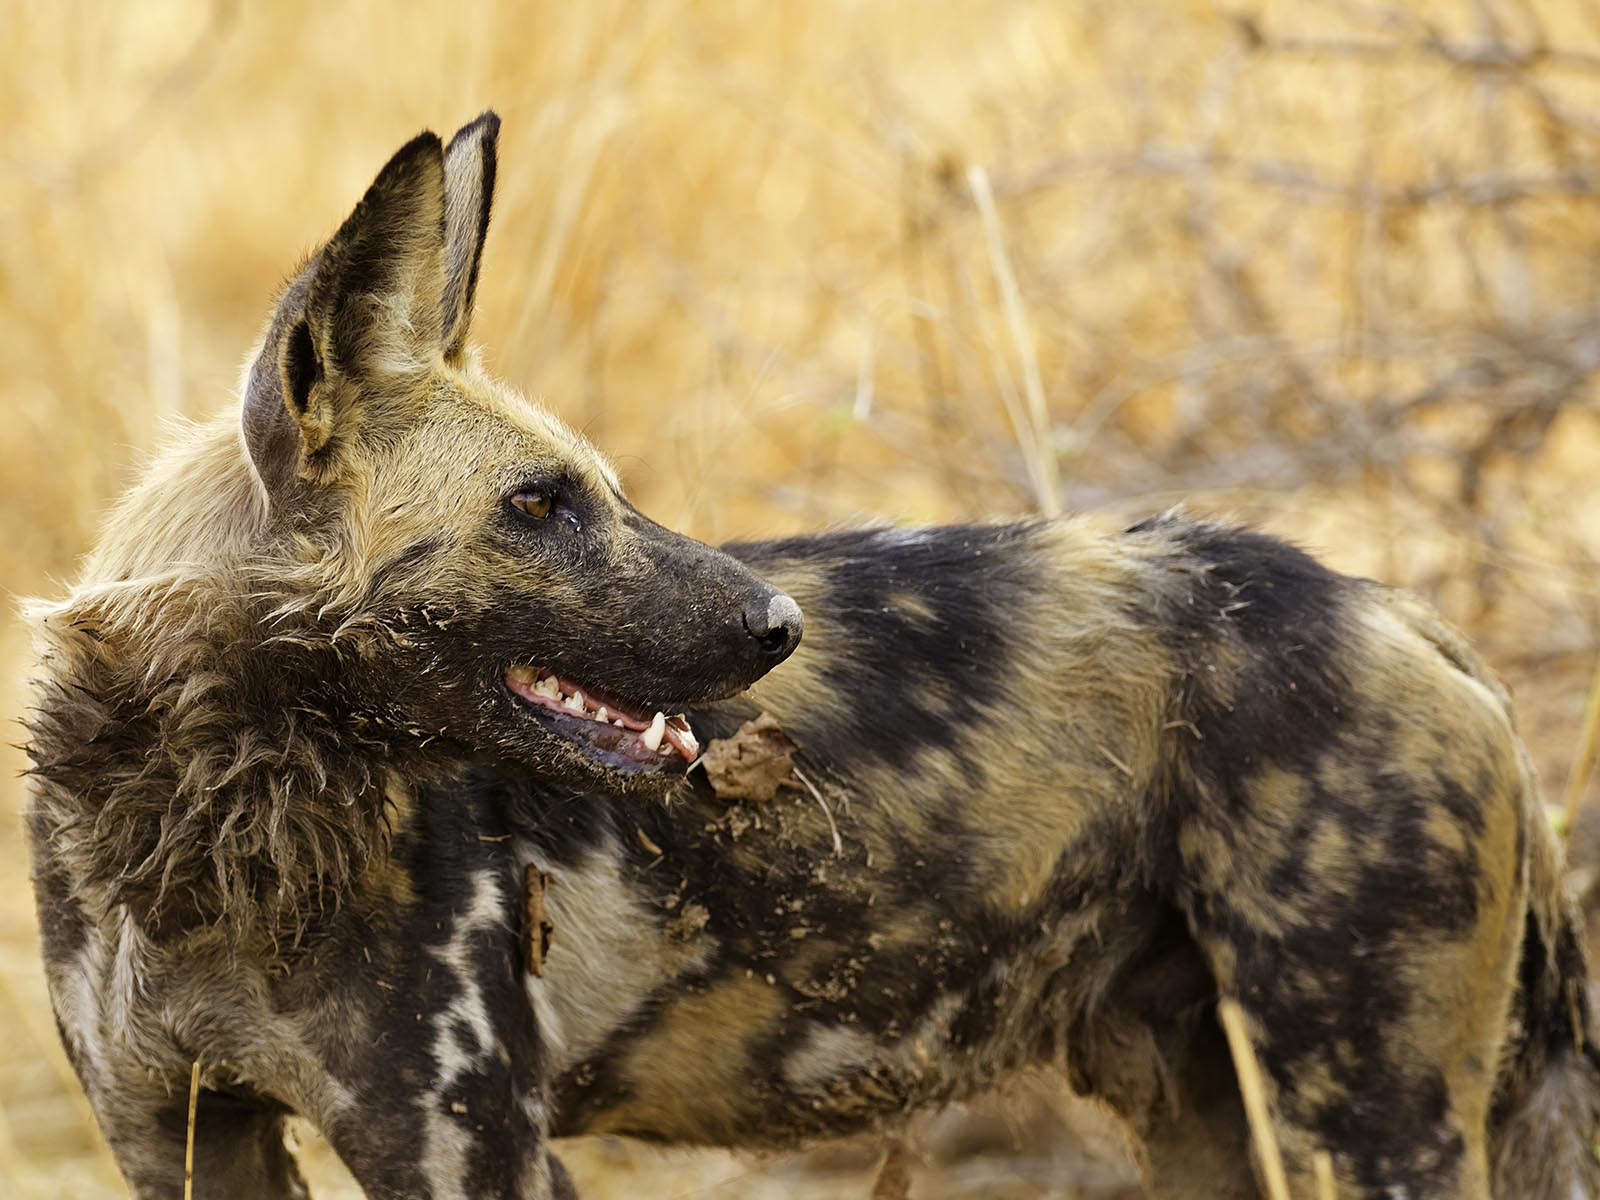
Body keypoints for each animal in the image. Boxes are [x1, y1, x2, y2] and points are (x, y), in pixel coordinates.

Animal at [23, 112, 1600, 1200]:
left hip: (1366, 1115)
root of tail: (1398, 610)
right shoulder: (175, 1135)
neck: (208, 831)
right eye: (540, 506)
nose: (777, 627)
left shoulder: (468, 1146)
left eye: (600, 488)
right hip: (1201, 1105)